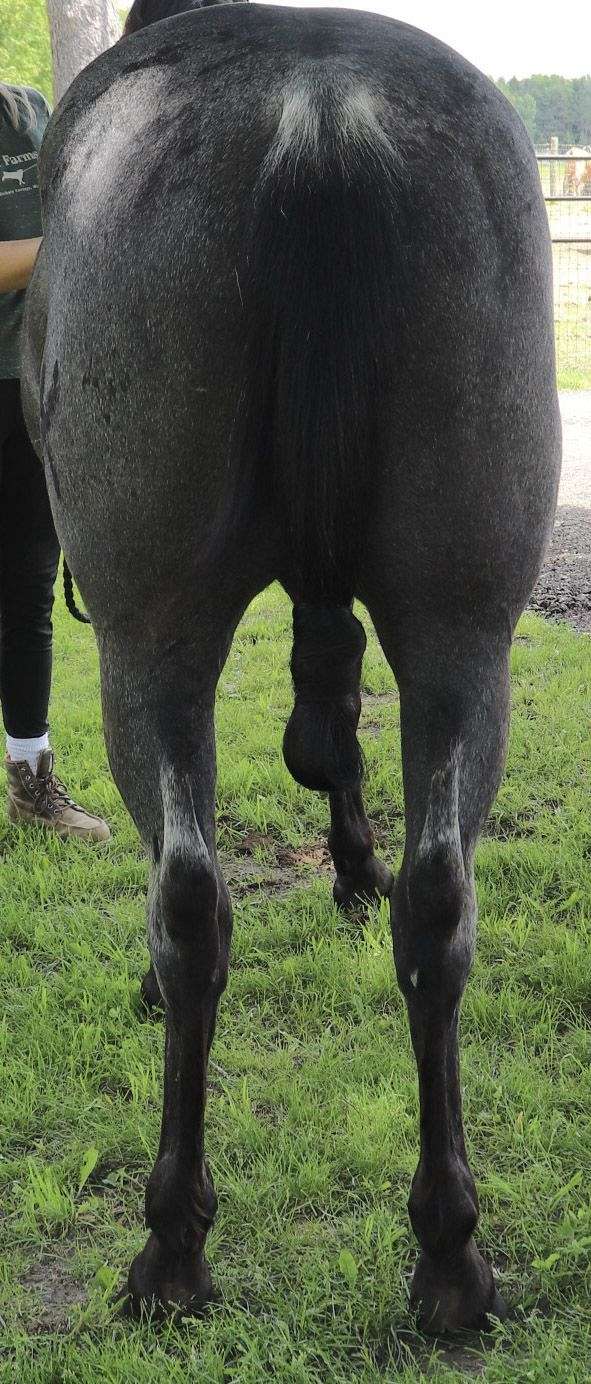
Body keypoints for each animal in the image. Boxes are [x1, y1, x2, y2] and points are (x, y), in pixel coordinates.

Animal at [21, 0, 561, 1332]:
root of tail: (319, 117)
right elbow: (329, 713)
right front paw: (356, 869)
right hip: (463, 631)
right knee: (441, 900)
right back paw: (449, 1252)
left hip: (149, 640)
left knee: (187, 897)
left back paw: (172, 1242)